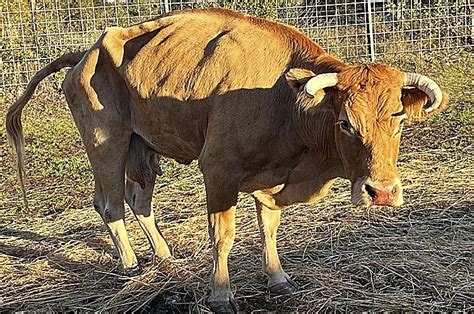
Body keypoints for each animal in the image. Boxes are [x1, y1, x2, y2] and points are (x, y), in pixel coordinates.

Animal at [7, 7, 448, 312]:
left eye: (399, 120)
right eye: (345, 123)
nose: (382, 192)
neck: (285, 104)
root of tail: (87, 52)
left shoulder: (271, 178)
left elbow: (269, 229)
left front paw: (278, 278)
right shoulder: (219, 171)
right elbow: (223, 235)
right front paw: (220, 294)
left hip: (141, 146)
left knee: (139, 201)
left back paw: (165, 257)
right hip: (106, 143)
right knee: (109, 204)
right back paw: (131, 265)